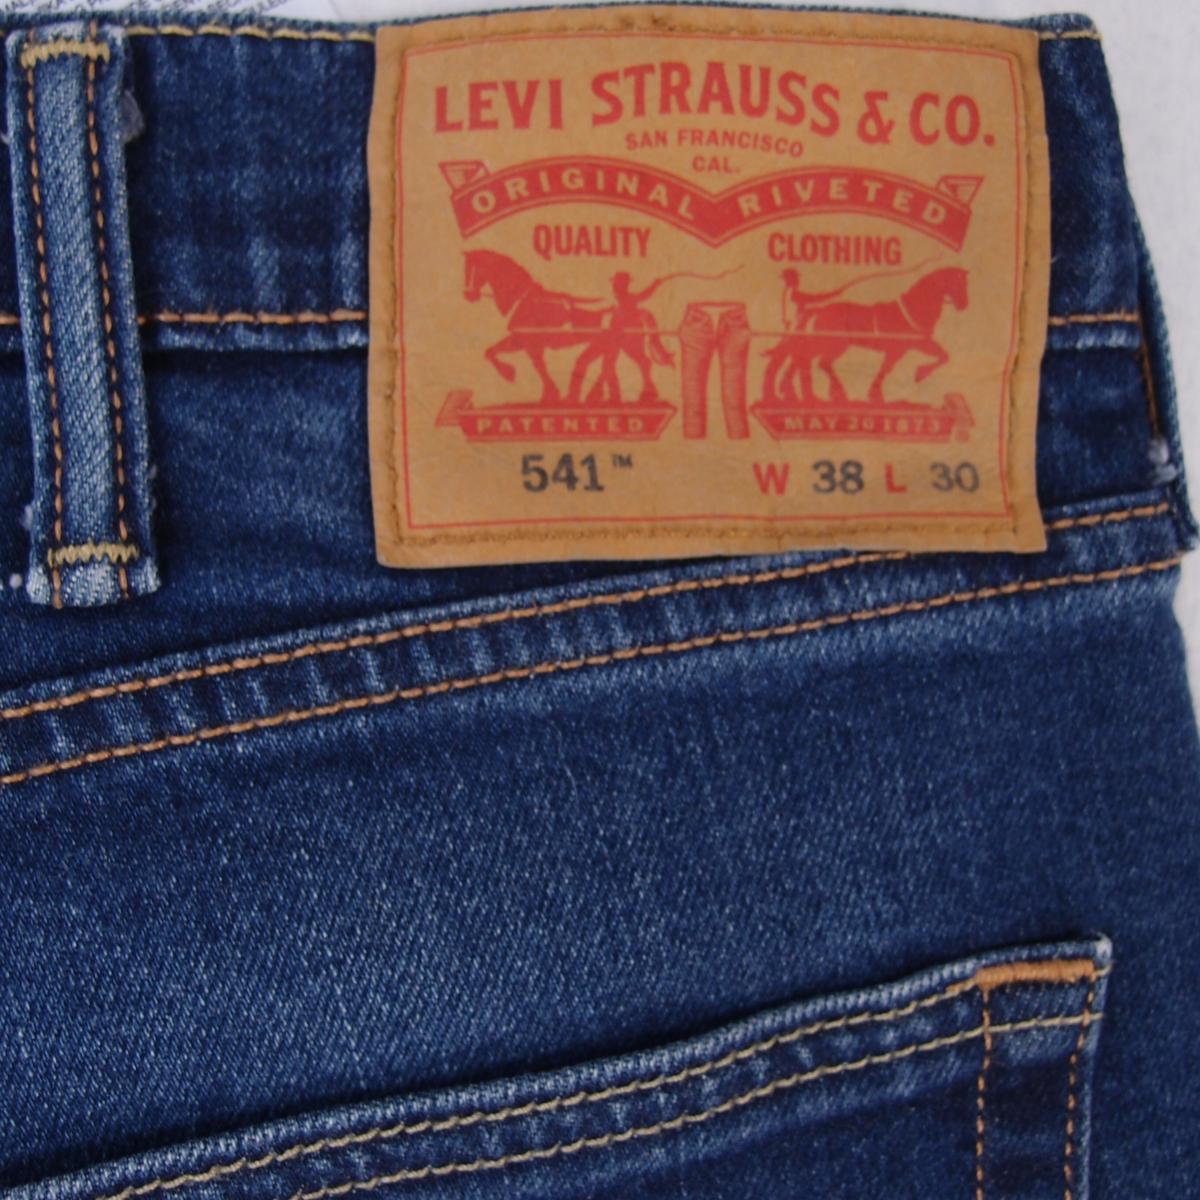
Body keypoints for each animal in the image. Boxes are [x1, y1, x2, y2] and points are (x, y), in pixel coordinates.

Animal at [463, 250, 611, 404]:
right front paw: (510, 373)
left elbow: (540, 367)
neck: (525, 299)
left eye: (475, 270)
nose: (468, 295)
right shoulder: (519, 340)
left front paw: (550, 393)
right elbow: (491, 351)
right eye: (465, 270)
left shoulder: (532, 344)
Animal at [762, 267, 968, 406]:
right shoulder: (899, 349)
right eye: (959, 282)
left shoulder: (916, 345)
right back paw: (831, 394)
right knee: (814, 360)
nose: (964, 305)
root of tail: (819, 310)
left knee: (804, 358)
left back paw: (793, 392)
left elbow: (942, 355)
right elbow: (887, 369)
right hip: (834, 344)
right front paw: (917, 375)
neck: (912, 309)